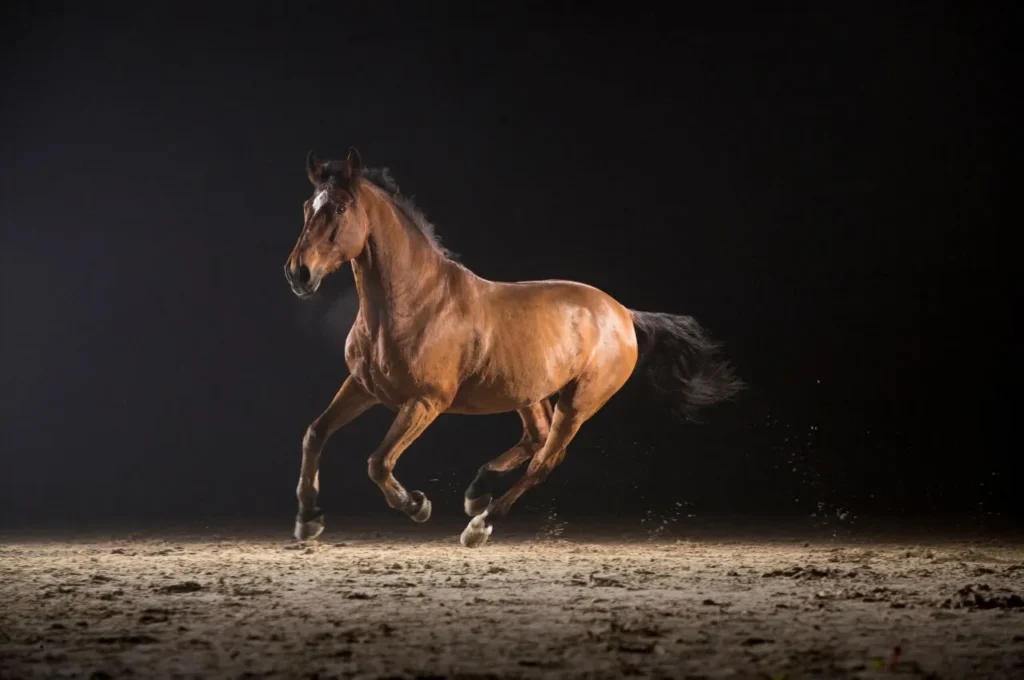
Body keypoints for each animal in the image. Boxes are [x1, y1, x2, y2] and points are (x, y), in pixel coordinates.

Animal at [283, 147, 744, 547]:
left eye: (340, 208)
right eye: (307, 207)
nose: (299, 274)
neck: (415, 302)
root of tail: (623, 314)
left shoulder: (425, 402)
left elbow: (378, 462)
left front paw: (416, 505)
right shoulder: (364, 387)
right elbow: (314, 433)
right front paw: (308, 520)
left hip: (579, 402)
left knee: (545, 460)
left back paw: (480, 524)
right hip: (530, 392)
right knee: (536, 437)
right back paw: (477, 492)